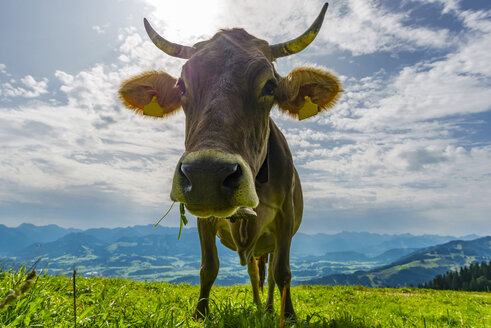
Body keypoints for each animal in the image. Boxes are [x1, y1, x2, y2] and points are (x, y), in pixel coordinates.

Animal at [119, 1, 342, 320]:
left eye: (270, 86)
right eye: (182, 86)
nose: (206, 174)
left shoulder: (286, 216)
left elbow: (283, 272)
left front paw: (288, 315)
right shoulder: (203, 216)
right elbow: (208, 268)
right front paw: (200, 313)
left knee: (269, 274)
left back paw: (269, 308)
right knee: (254, 272)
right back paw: (259, 306)